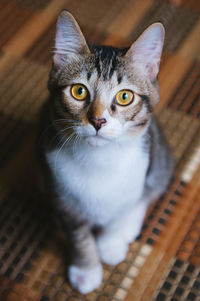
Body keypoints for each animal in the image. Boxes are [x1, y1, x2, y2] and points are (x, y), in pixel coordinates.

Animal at [37, 10, 173, 292]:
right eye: (79, 91)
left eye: (124, 96)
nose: (98, 121)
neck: (99, 159)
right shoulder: (62, 197)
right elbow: (78, 236)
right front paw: (86, 269)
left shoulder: (139, 171)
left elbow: (121, 211)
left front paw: (110, 244)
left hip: (159, 157)